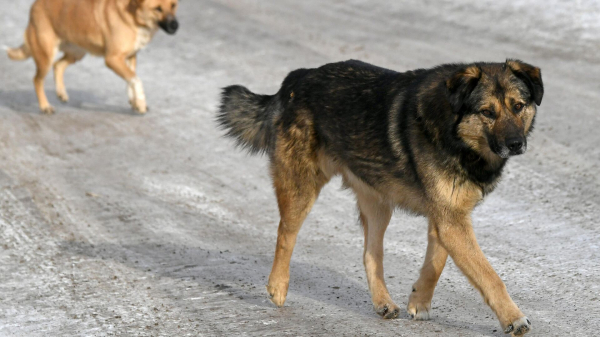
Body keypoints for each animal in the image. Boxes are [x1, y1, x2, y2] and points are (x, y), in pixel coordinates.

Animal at [6, 0, 178, 114]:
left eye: (174, 5)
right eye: (157, 9)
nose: (176, 26)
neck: (132, 15)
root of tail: (34, 6)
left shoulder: (130, 57)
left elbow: (131, 79)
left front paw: (135, 101)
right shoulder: (112, 59)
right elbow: (135, 79)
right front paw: (141, 103)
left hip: (77, 52)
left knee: (58, 65)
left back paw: (61, 93)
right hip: (46, 55)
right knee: (37, 80)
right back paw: (44, 106)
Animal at [218, 59, 540, 334]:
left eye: (518, 106)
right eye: (487, 112)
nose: (516, 144)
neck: (455, 133)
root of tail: (297, 78)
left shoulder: (447, 217)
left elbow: (436, 263)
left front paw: (419, 301)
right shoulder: (451, 221)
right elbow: (489, 275)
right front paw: (513, 318)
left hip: (378, 203)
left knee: (370, 253)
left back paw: (383, 302)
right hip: (301, 187)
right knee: (285, 234)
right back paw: (278, 287)